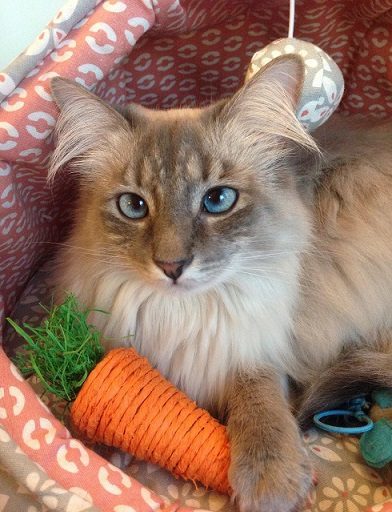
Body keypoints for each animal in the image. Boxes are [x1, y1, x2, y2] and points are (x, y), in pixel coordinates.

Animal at [49, 56, 392, 512]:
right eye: (133, 206)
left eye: (217, 200)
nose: (172, 266)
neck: (184, 313)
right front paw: (92, 449)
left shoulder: (257, 350)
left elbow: (260, 404)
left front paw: (271, 483)